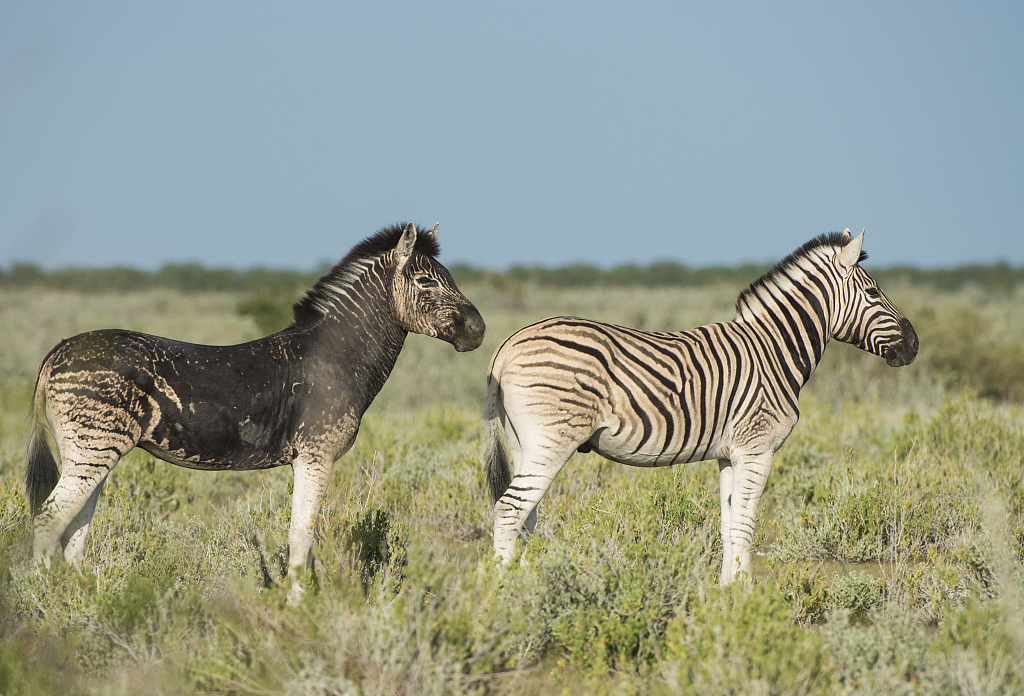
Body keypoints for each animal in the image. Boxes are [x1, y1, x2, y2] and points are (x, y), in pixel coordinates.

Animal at [28, 224, 483, 601]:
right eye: (426, 281)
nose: (479, 330)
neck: (338, 358)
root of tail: (59, 350)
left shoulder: (308, 458)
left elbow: (301, 538)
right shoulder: (316, 455)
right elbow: (301, 538)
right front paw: (300, 613)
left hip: (91, 449)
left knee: (73, 530)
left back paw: (84, 602)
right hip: (93, 446)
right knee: (48, 520)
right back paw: (42, 607)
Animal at [483, 231, 917, 585]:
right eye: (874, 293)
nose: (914, 345)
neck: (774, 351)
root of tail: (508, 345)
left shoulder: (729, 454)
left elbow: (729, 523)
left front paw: (726, 591)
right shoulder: (757, 449)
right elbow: (746, 524)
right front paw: (746, 595)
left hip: (524, 442)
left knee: (525, 516)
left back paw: (531, 582)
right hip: (552, 439)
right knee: (509, 510)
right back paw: (507, 592)